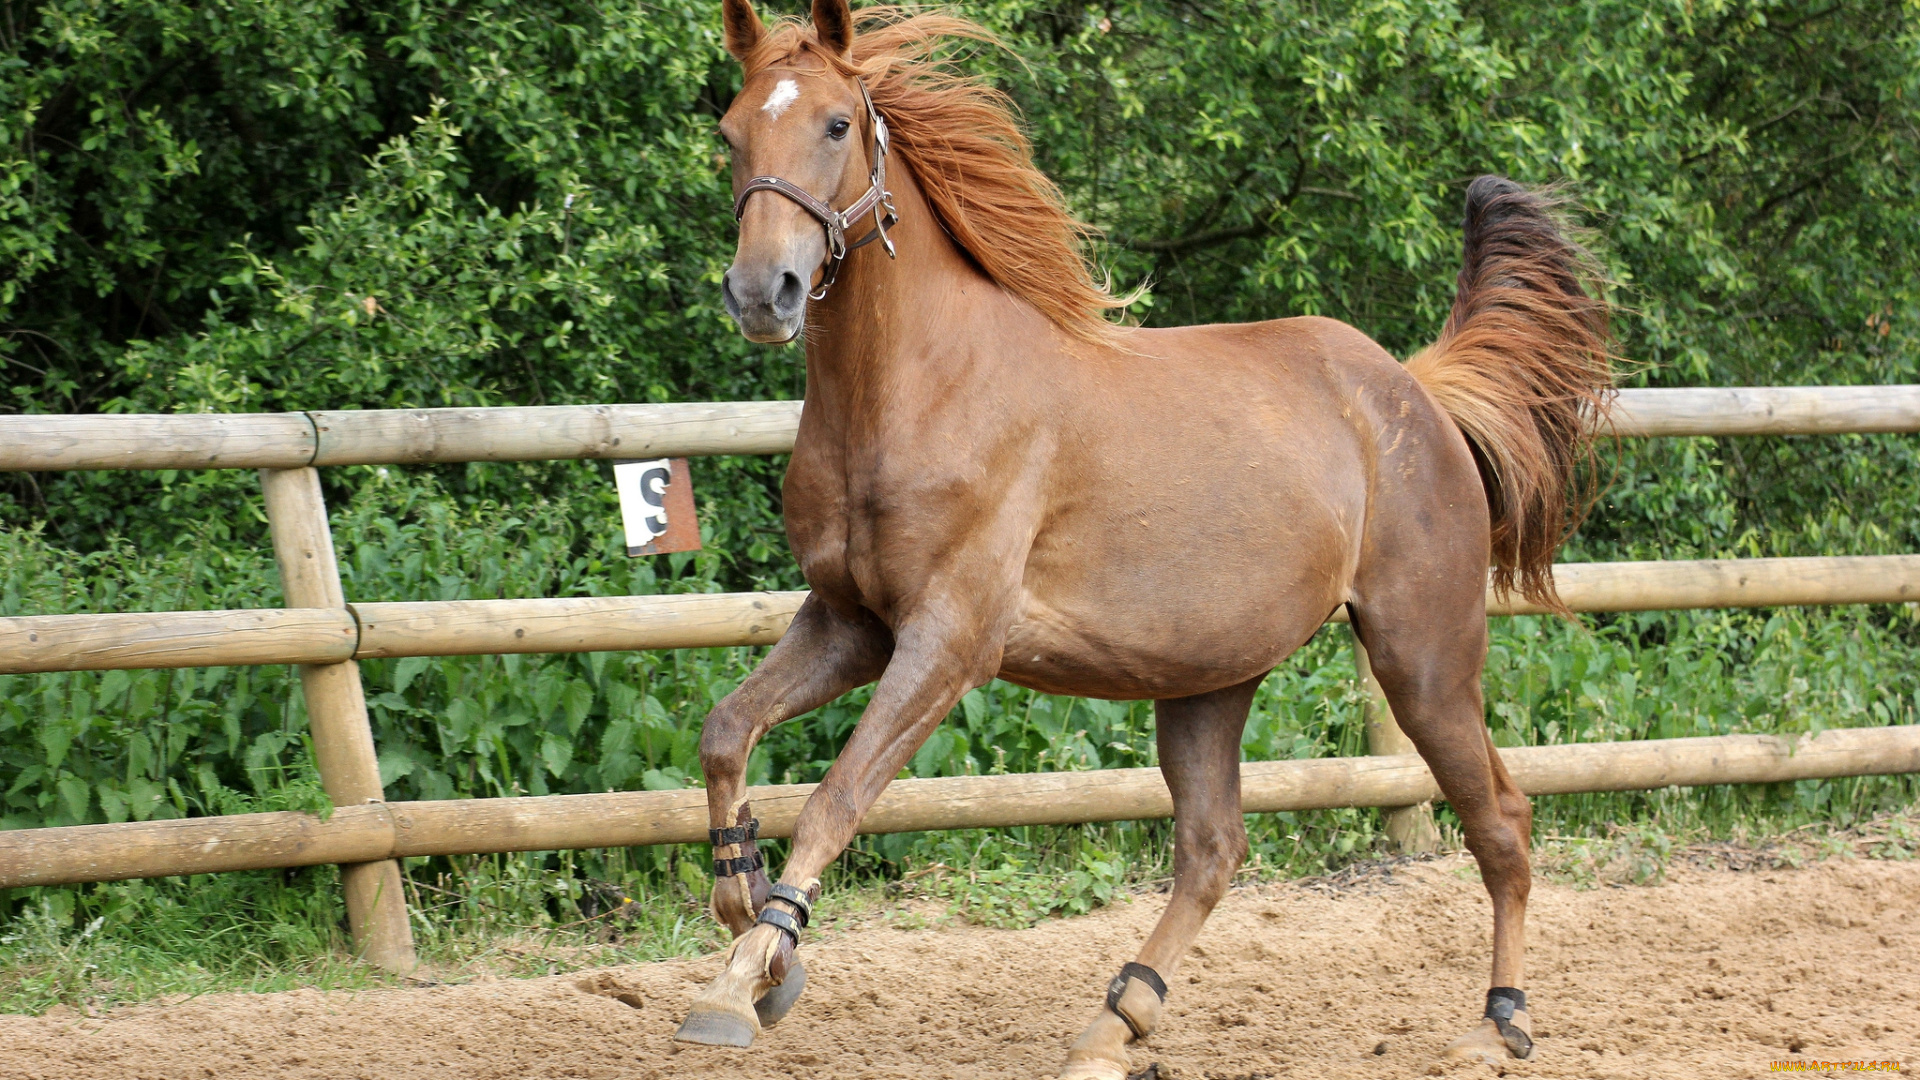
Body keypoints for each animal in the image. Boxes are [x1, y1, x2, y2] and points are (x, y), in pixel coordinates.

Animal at [675, 4, 1605, 1068]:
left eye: (835, 124)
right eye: (730, 132)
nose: (764, 291)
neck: (917, 389)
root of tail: (1417, 390)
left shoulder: (949, 640)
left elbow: (835, 796)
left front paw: (745, 979)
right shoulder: (848, 622)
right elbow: (725, 731)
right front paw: (749, 924)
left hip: (1425, 660)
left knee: (1502, 820)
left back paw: (1502, 1023)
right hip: (1210, 678)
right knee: (1212, 849)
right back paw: (1114, 1023)